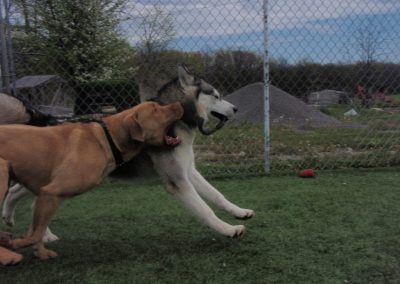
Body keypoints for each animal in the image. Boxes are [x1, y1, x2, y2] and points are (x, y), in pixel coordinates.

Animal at [0, 101, 184, 260]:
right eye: (155, 109)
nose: (179, 103)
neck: (109, 138)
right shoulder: (51, 192)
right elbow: (35, 233)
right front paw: (20, 243)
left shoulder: (45, 194)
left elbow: (36, 229)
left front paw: (40, 252)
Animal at [2, 63, 253, 237]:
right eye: (217, 96)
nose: (236, 108)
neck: (176, 120)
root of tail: (44, 119)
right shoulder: (178, 181)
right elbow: (205, 210)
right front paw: (229, 229)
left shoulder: (188, 171)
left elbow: (217, 195)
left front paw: (239, 212)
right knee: (30, 199)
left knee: (18, 192)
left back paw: (13, 220)